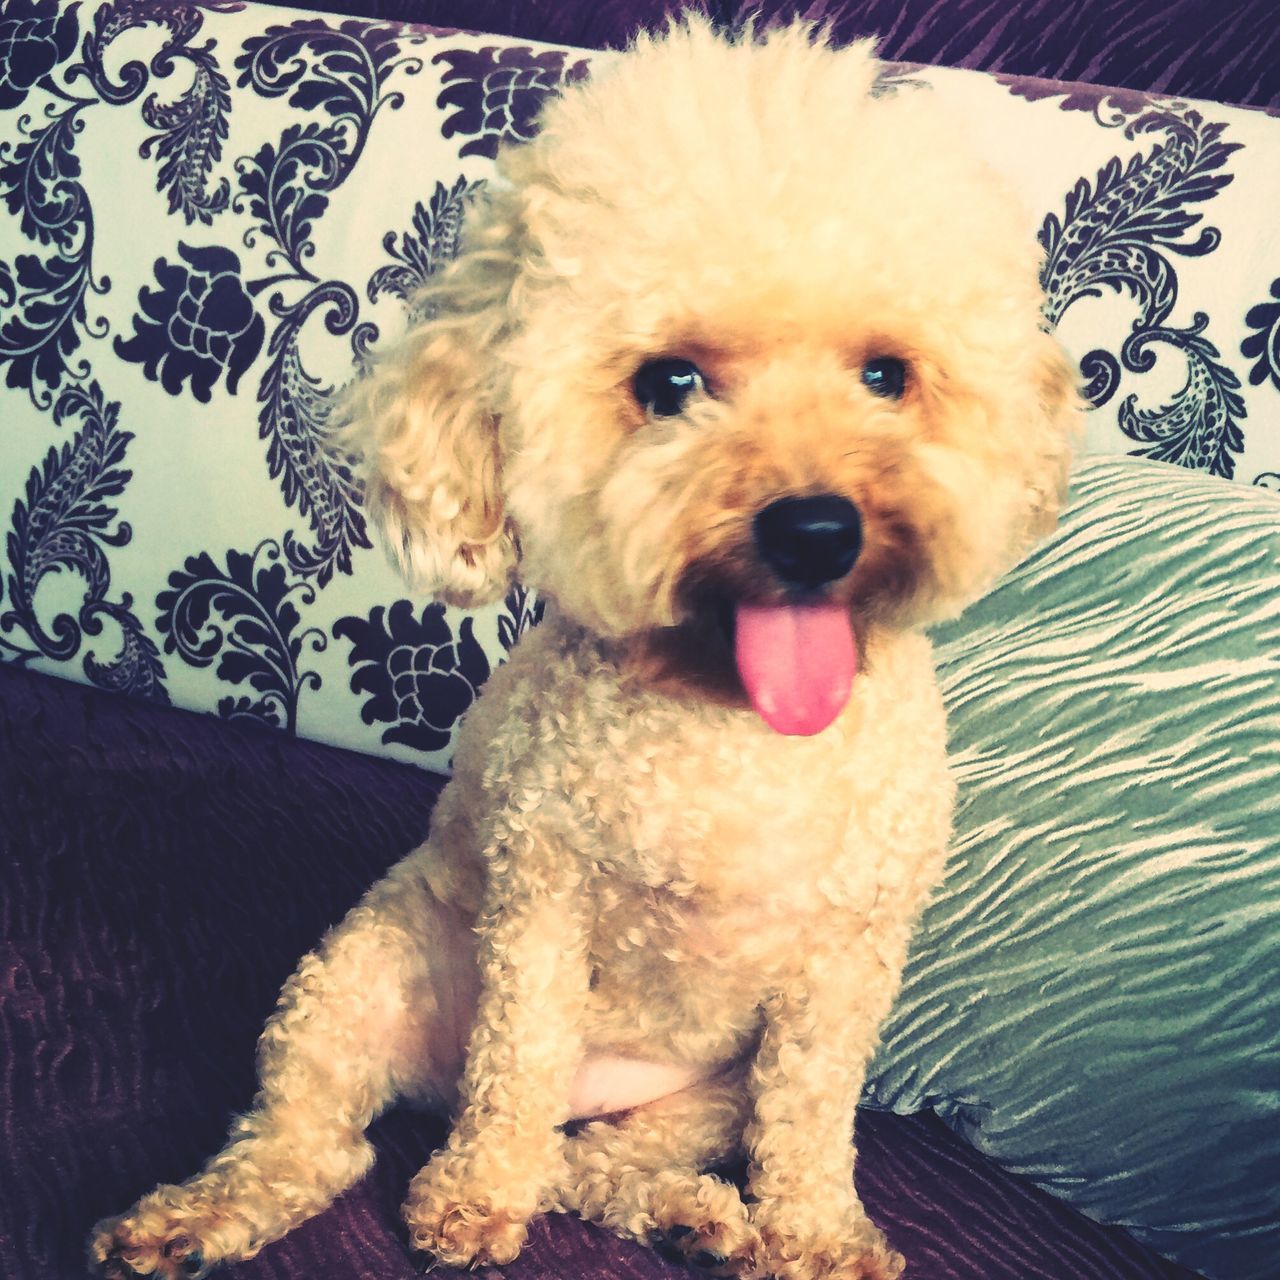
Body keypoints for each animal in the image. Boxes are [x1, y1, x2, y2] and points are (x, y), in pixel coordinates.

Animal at [92, 20, 1080, 1280]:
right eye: (669, 383)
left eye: (883, 376)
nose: (815, 528)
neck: (734, 726)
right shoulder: (539, 901)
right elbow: (514, 1062)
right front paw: (474, 1197)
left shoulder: (845, 963)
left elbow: (812, 1118)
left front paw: (815, 1234)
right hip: (358, 975)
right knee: (323, 1137)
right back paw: (199, 1215)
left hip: (703, 1095)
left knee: (597, 1162)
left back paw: (696, 1214)